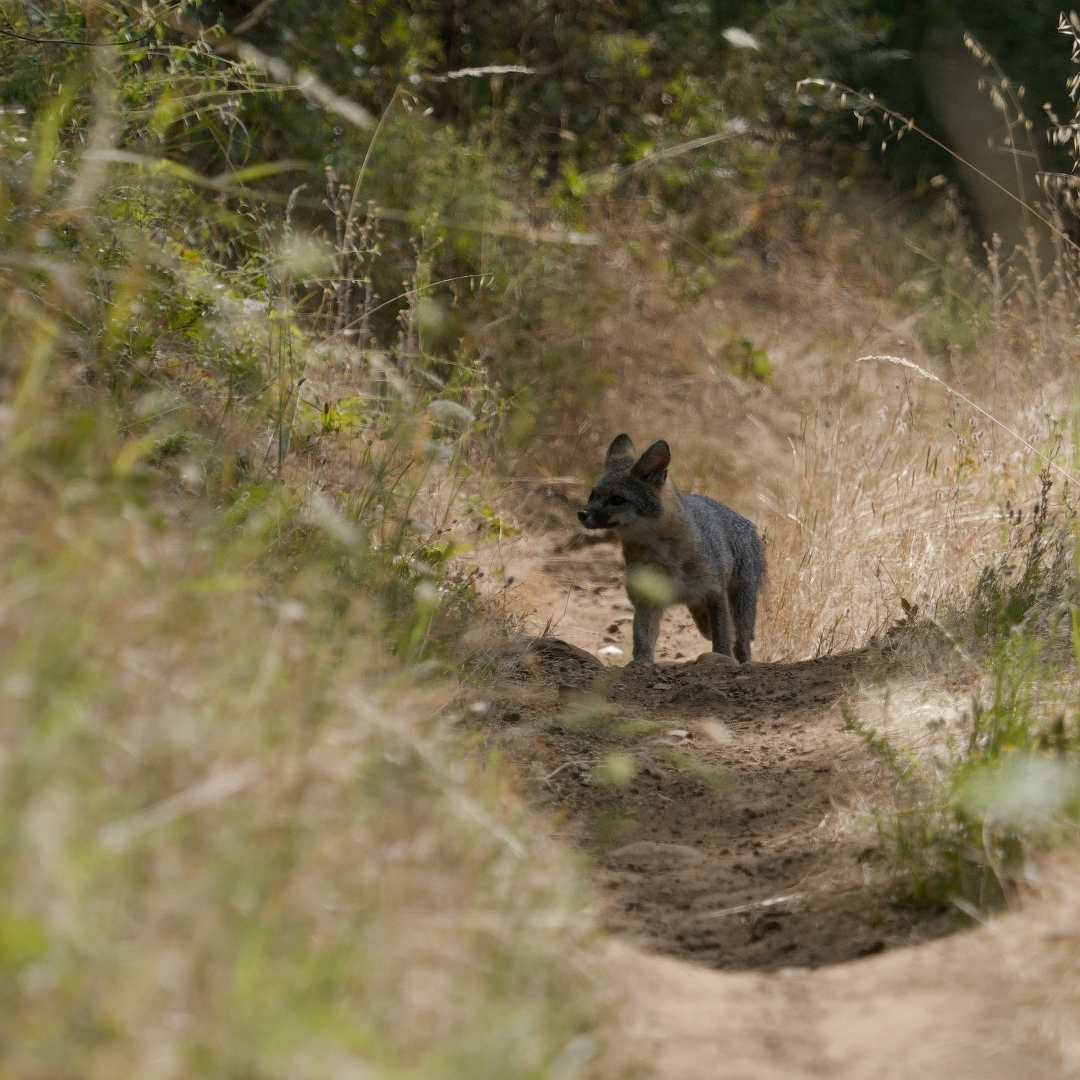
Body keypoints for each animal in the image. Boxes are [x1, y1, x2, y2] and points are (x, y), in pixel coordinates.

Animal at [577, 434, 766, 666]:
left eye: (617, 500)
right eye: (592, 496)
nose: (582, 514)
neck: (663, 553)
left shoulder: (714, 592)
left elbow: (722, 639)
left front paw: (720, 659)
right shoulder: (646, 600)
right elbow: (643, 637)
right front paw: (641, 663)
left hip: (740, 607)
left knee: (741, 644)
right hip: (701, 612)